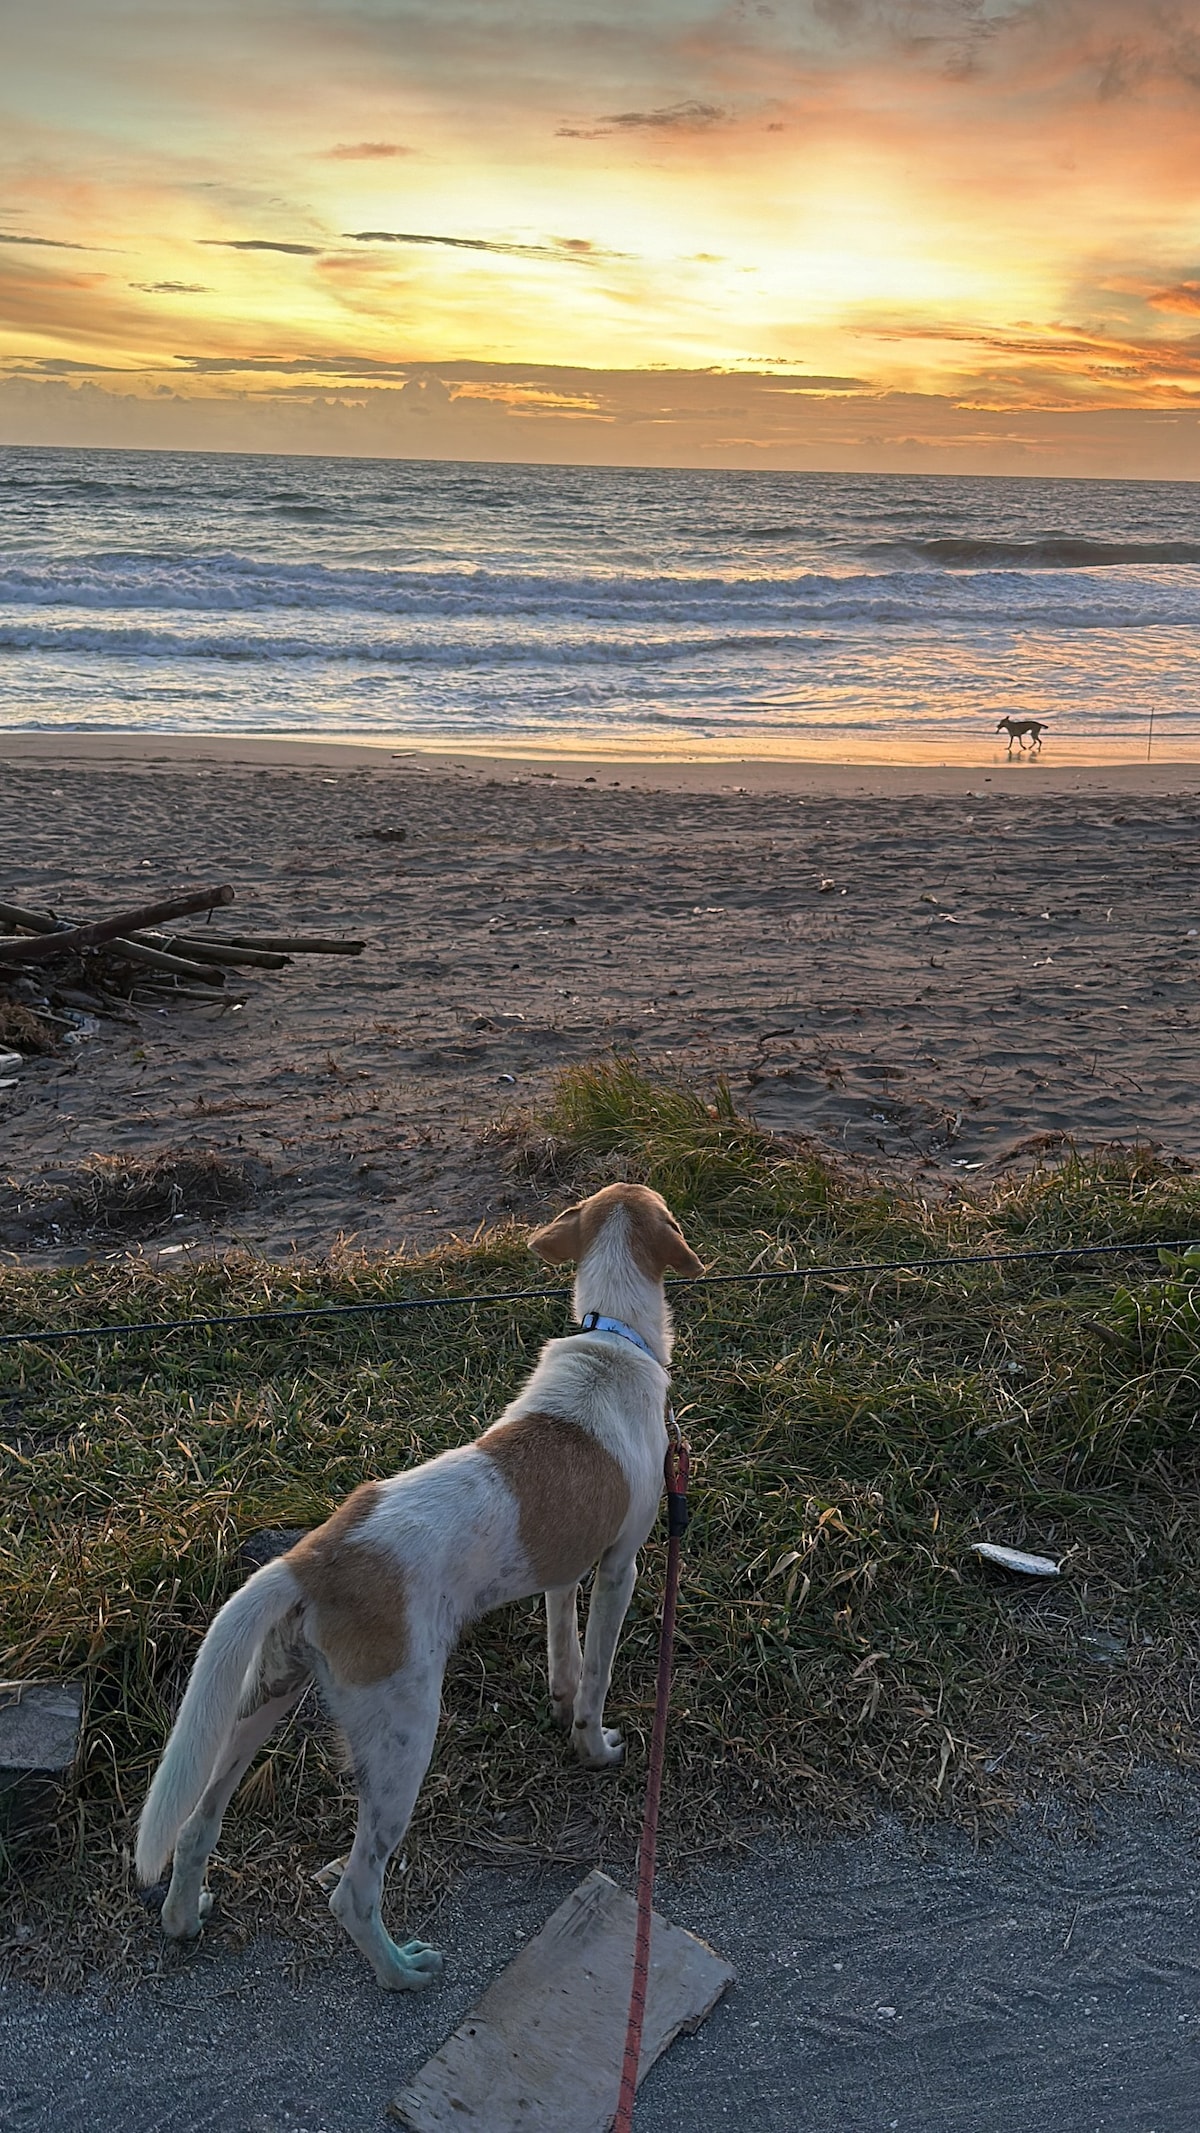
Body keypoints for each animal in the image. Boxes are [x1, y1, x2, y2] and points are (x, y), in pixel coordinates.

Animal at [136, 1194, 703, 1987]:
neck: (612, 1336)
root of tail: (314, 1558)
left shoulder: (562, 1572)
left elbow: (564, 1651)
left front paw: (560, 1708)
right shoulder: (620, 1566)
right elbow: (596, 1676)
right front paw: (594, 1748)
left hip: (261, 1701)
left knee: (195, 1825)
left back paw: (184, 1918)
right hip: (403, 1737)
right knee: (352, 1890)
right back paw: (400, 1970)